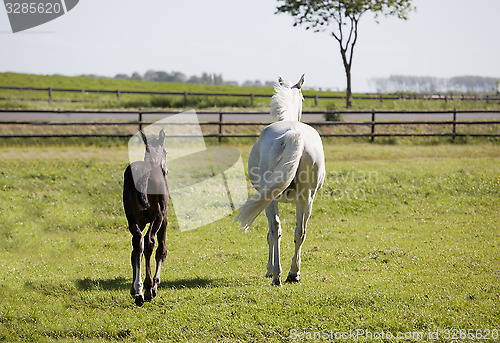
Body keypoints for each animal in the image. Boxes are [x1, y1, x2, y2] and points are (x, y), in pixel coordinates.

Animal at [236, 75, 326, 288]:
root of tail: (294, 134)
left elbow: (270, 234)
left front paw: (269, 269)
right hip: (306, 199)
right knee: (300, 231)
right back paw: (294, 273)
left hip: (272, 199)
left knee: (275, 229)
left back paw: (276, 274)